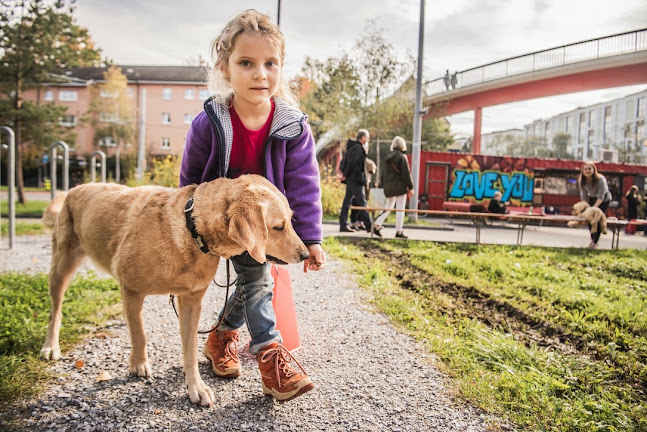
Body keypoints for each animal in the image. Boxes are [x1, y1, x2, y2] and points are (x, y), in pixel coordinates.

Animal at [40, 174, 308, 406]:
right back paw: (50, 347)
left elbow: (189, 351)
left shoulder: (191, 303)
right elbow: (140, 334)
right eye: (279, 227)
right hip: (61, 268)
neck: (192, 232)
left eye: (290, 221)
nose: (306, 254)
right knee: (55, 311)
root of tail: (75, 188)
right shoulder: (131, 289)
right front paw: (139, 363)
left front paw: (195, 387)